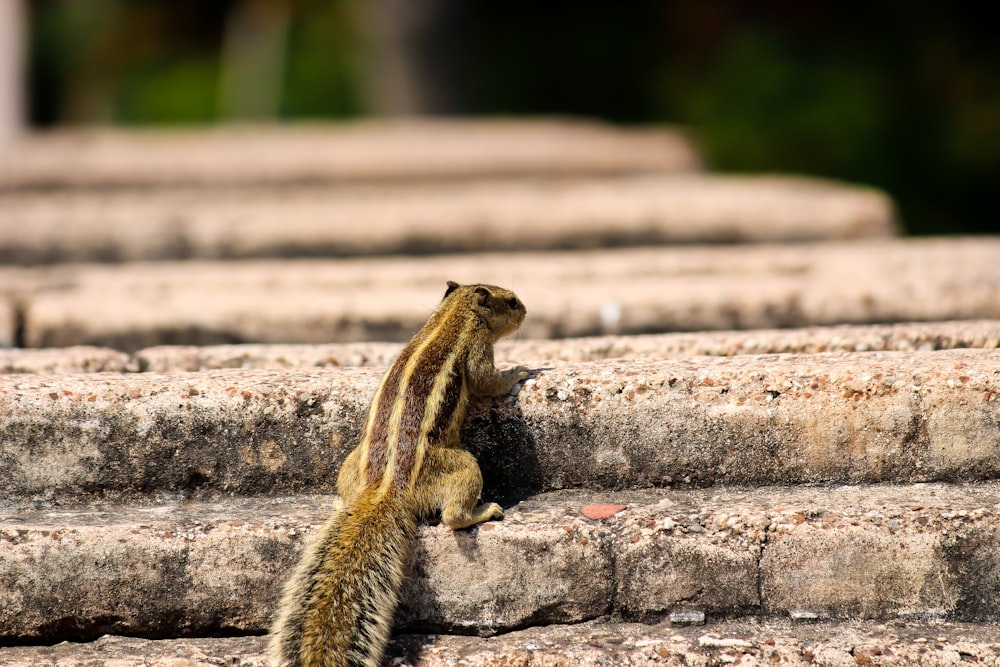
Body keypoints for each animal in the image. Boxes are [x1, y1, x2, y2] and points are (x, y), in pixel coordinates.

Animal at [270, 282, 528, 667]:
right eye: (511, 301)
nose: (525, 310)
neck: (453, 314)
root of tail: (385, 489)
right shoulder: (477, 351)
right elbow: (488, 381)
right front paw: (518, 373)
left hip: (351, 464)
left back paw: (340, 502)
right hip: (461, 465)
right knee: (453, 516)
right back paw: (482, 512)